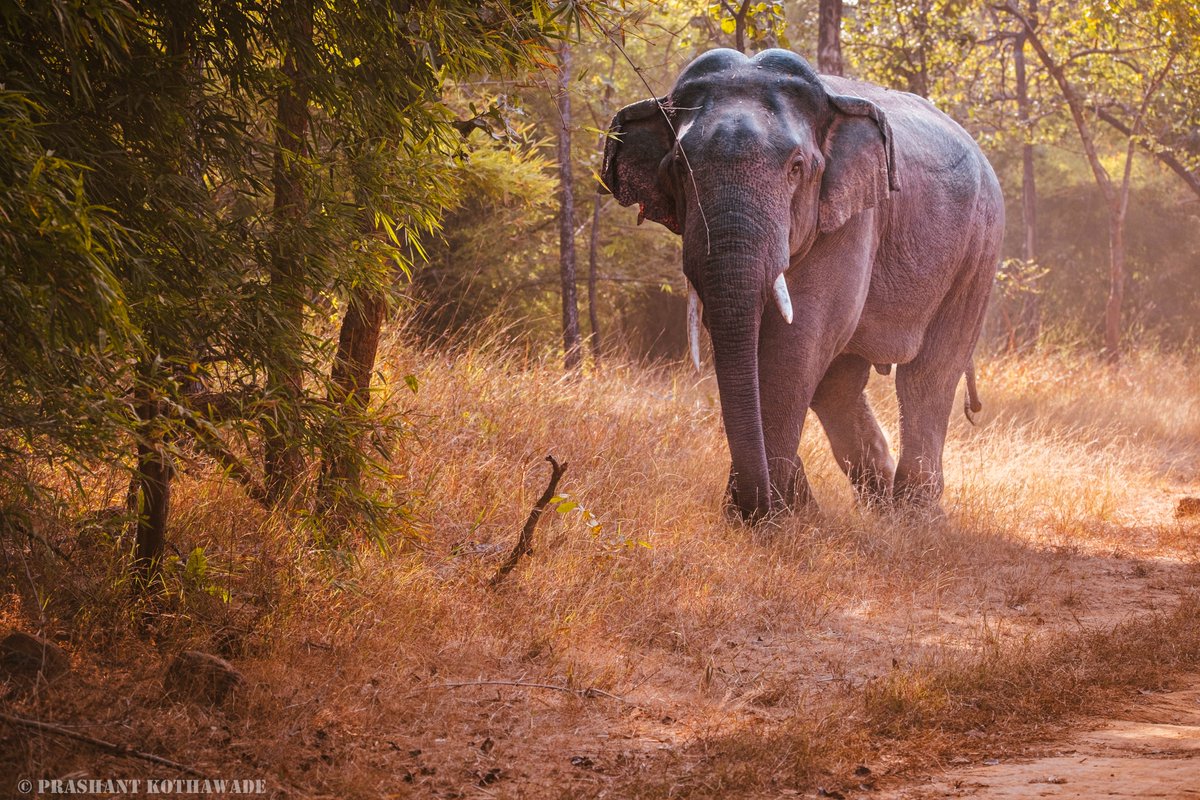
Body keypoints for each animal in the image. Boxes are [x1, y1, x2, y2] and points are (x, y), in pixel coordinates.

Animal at [600, 48, 1004, 522]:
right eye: (679, 169)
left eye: (797, 168)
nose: (752, 507)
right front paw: (790, 514)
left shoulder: (851, 219)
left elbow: (798, 342)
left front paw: (764, 519)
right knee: (838, 385)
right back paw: (878, 504)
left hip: (979, 249)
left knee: (929, 373)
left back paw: (912, 514)